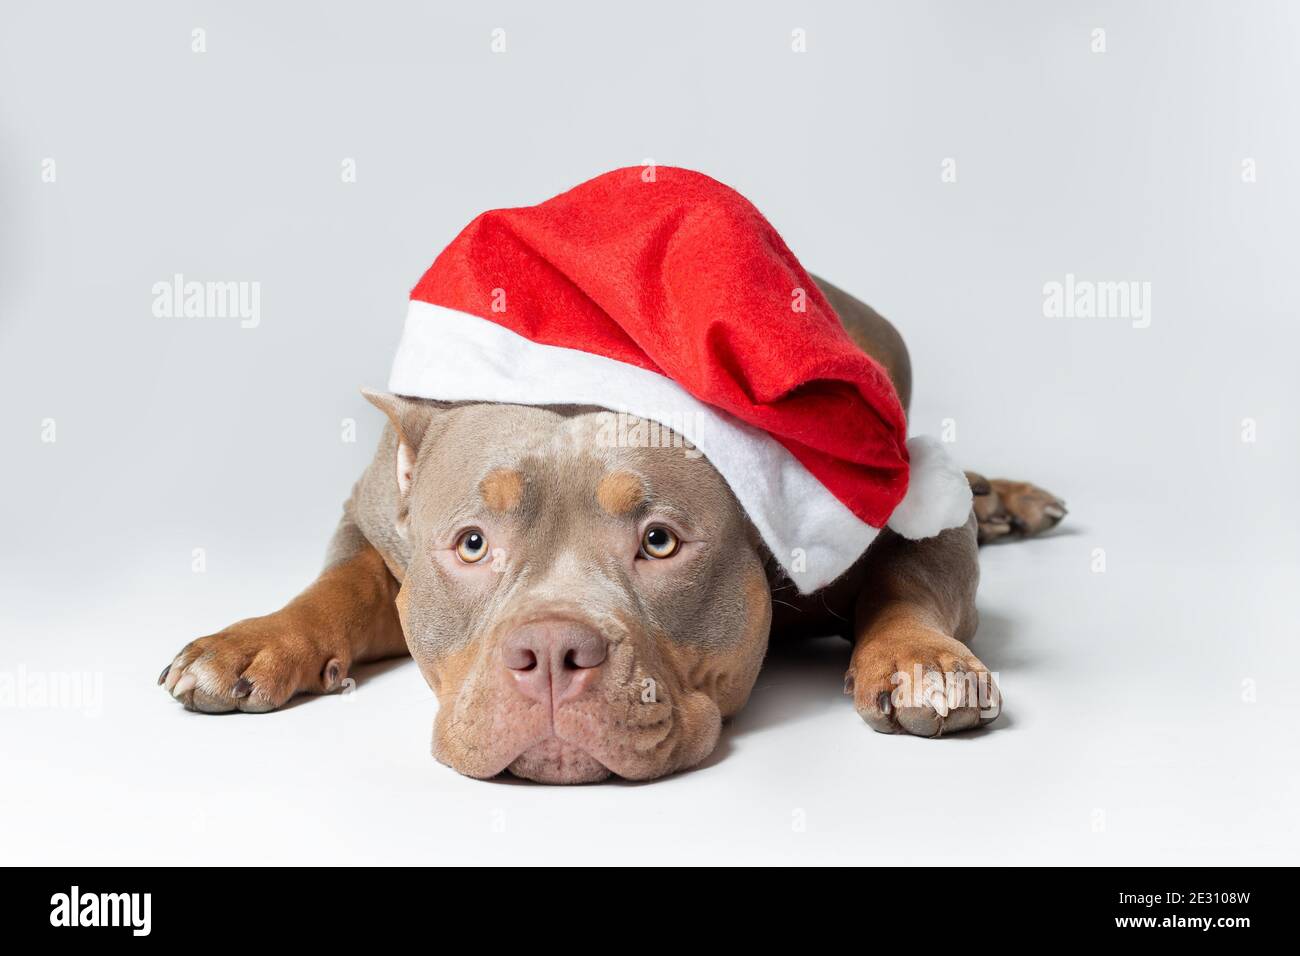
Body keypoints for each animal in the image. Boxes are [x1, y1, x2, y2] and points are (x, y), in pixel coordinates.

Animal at [157, 171, 1060, 785]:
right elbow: (339, 582)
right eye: (472, 545)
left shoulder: (882, 509)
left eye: (659, 542)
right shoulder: (375, 513)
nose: (553, 652)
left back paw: (1003, 498)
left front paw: (920, 661)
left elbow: (911, 580)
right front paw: (254, 640)